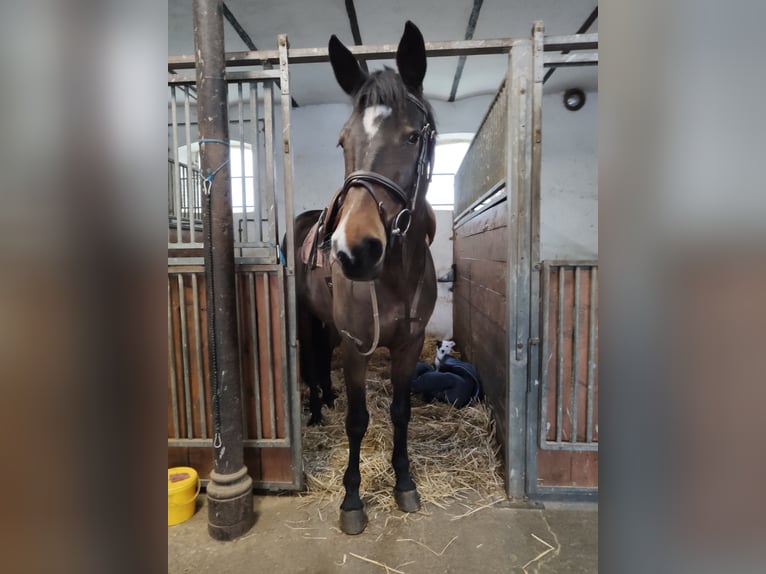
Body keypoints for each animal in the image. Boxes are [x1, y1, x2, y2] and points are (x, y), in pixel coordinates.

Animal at [292, 21, 438, 536]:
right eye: (342, 141)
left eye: (413, 137)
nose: (354, 250)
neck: (395, 274)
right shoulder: (359, 347)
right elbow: (358, 420)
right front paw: (352, 498)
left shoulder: (409, 345)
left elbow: (399, 411)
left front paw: (404, 483)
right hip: (306, 320)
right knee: (312, 364)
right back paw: (318, 409)